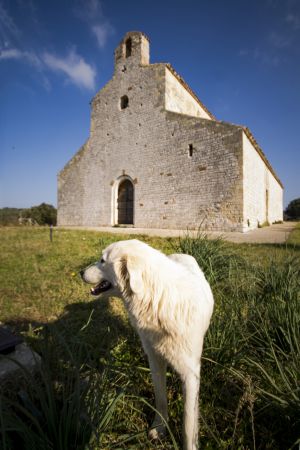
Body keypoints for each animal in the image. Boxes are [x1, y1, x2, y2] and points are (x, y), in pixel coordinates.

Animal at [82, 241, 213, 448]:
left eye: (102, 260)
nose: (80, 272)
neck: (158, 301)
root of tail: (180, 253)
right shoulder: (155, 360)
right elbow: (160, 399)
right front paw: (160, 428)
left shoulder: (191, 375)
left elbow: (188, 423)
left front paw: (189, 444)